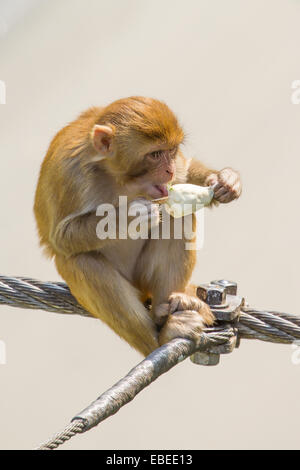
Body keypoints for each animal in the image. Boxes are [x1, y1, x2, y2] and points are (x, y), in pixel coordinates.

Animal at [34, 96, 241, 356]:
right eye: (155, 154)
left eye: (171, 151)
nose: (169, 170)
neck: (116, 177)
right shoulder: (70, 175)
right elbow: (61, 238)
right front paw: (128, 217)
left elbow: (184, 176)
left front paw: (225, 181)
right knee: (82, 261)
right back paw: (163, 336)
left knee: (175, 217)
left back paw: (173, 307)